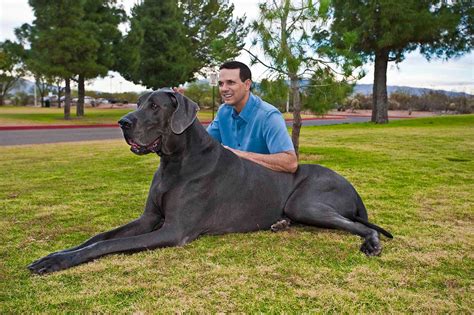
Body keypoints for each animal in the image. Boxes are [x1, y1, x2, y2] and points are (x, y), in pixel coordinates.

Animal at [28, 88, 392, 274]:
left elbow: (107, 246)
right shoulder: (148, 218)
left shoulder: (173, 230)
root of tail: (353, 189)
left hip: (306, 202)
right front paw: (54, 255)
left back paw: (371, 243)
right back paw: (279, 224)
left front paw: (58, 262)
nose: (122, 122)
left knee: (363, 226)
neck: (174, 162)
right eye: (137, 103)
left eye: (155, 106)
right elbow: (98, 237)